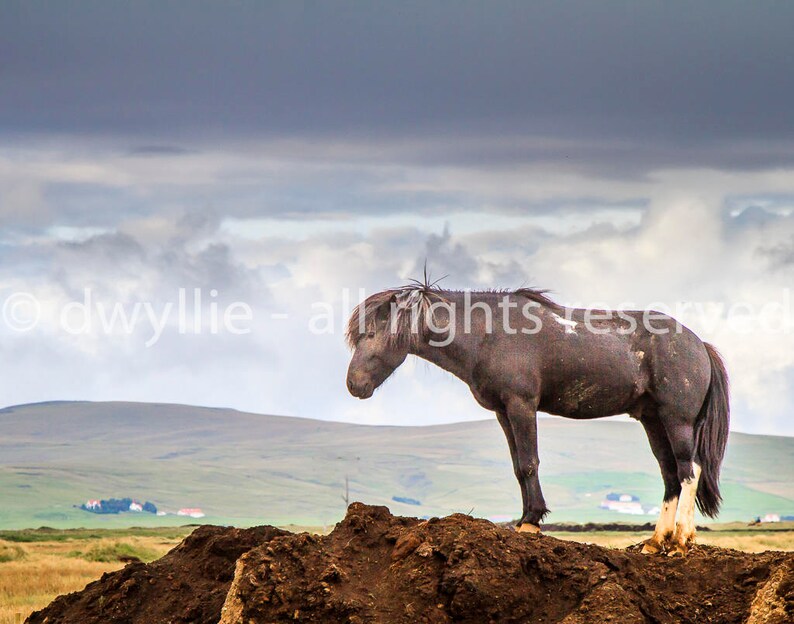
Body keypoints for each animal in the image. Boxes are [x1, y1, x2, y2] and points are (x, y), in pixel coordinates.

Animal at [344, 282, 728, 556]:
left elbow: (529, 463)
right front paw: (526, 518)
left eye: (374, 333)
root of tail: (699, 345)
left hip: (677, 420)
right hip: (652, 421)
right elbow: (518, 466)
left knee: (689, 470)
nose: (354, 385)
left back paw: (680, 541)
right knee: (670, 475)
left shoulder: (521, 405)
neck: (489, 334)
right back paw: (655, 541)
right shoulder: (503, 411)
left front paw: (531, 522)